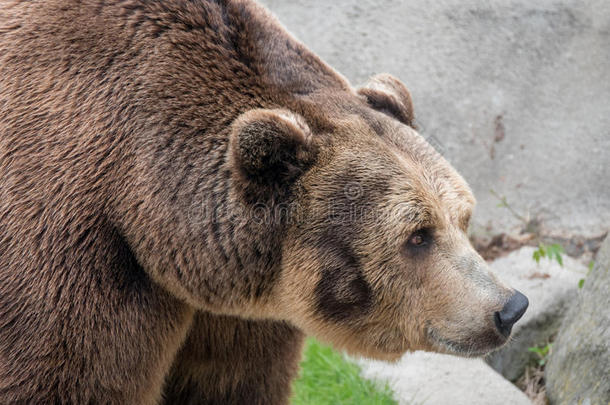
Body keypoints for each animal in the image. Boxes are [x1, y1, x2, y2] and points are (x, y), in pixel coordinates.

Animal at [0, 0, 524, 402]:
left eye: (463, 217)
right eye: (417, 236)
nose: (509, 307)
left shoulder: (248, 310)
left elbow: (232, 382)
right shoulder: (79, 257)